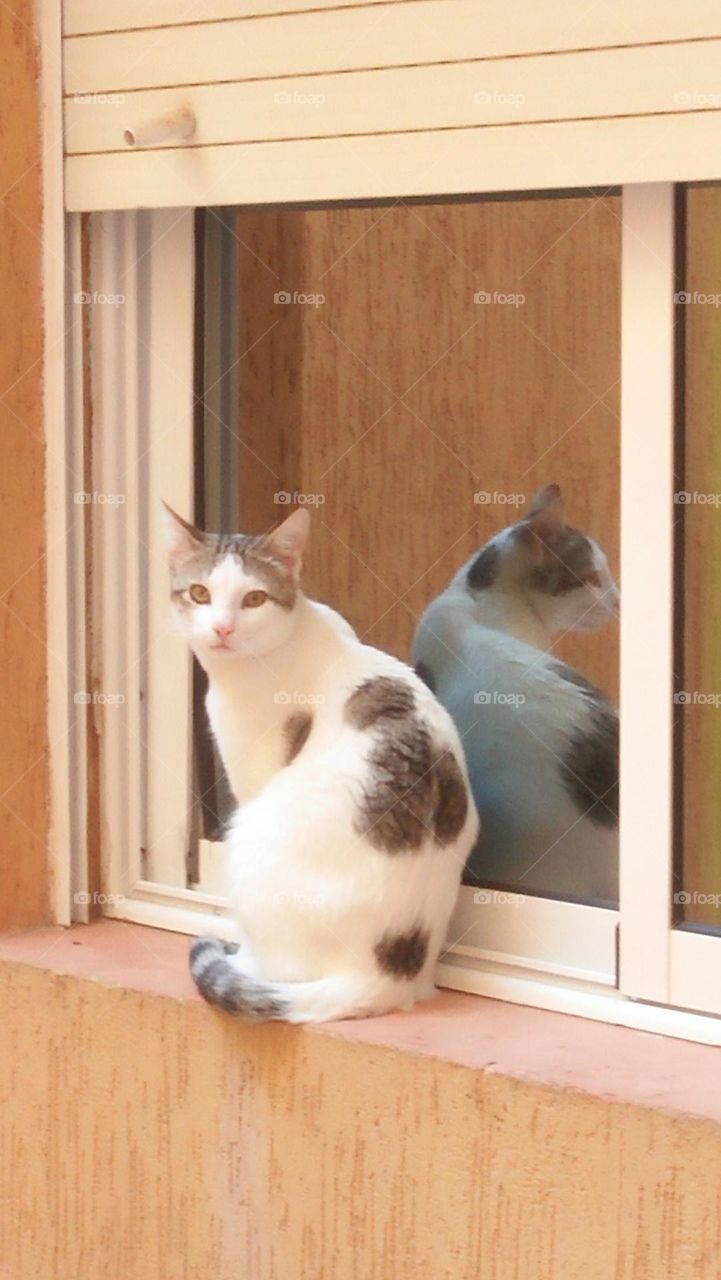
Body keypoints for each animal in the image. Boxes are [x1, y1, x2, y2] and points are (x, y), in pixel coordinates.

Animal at [162, 504, 478, 1024]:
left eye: (253, 598)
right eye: (199, 593)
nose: (222, 629)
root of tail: (386, 972)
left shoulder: (255, 769)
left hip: (248, 834)